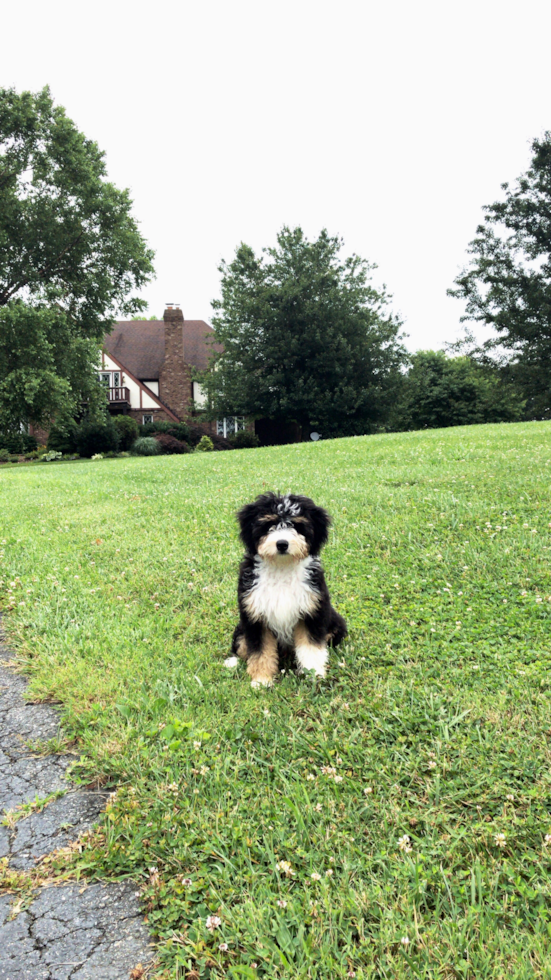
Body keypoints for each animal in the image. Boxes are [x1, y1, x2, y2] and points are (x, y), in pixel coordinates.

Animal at [226, 490, 348, 688]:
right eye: (269, 524)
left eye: (297, 525)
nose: (282, 543)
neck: (282, 567)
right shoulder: (255, 615)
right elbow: (259, 650)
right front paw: (261, 680)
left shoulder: (312, 611)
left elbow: (311, 647)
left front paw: (314, 674)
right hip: (242, 628)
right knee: (242, 645)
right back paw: (232, 662)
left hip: (335, 623)